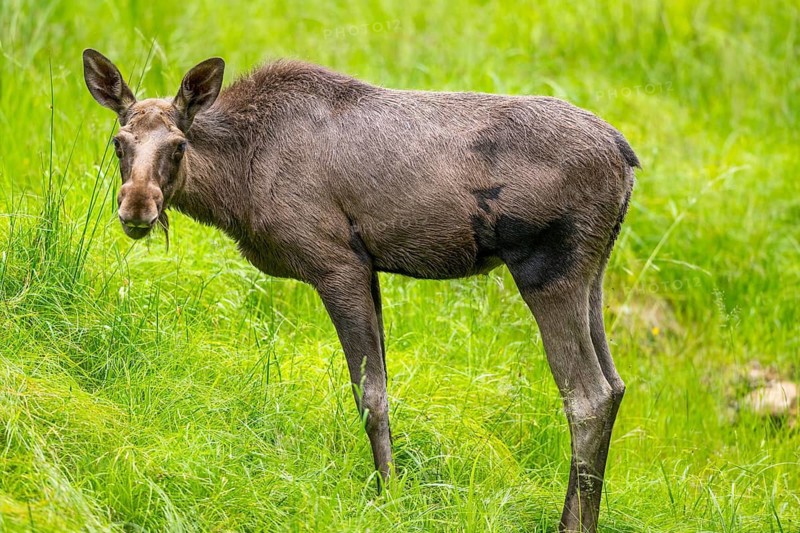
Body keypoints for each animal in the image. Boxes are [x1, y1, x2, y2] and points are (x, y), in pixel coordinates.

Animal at [82, 48, 638, 532]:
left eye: (178, 145)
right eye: (118, 142)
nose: (137, 207)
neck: (238, 180)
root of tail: (626, 158)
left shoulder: (337, 264)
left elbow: (369, 395)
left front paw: (387, 497)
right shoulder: (369, 270)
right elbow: (383, 384)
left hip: (547, 268)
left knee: (586, 396)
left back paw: (572, 525)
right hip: (592, 274)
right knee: (614, 386)